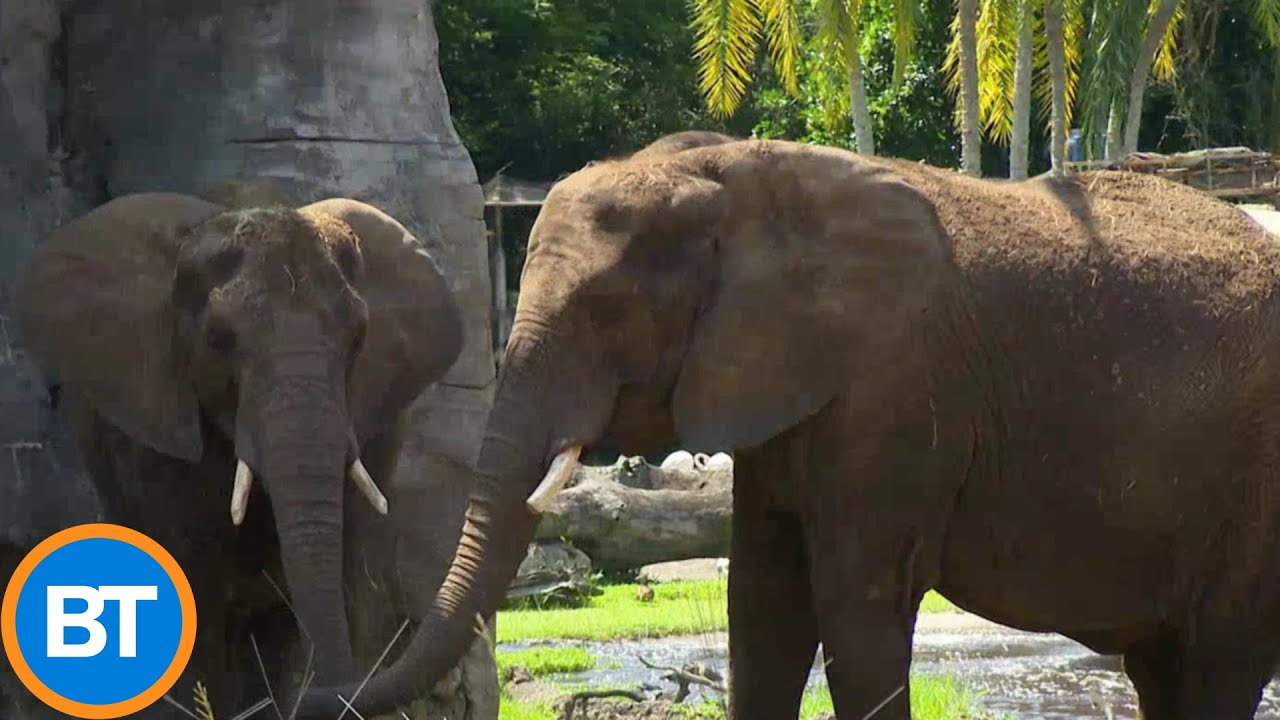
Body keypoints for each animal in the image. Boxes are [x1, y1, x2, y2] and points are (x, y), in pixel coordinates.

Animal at [295, 132, 1280, 720]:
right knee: (1168, 668)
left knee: (1220, 662)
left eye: (607, 312)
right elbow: (762, 601)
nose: (316, 692)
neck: (737, 174)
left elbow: (856, 601)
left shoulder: (895, 388)